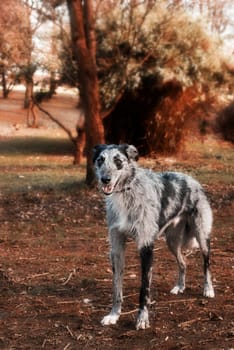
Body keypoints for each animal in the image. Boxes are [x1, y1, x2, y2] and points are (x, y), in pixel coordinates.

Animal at [93, 144, 214, 330]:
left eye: (118, 161)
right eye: (100, 160)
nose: (105, 179)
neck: (127, 193)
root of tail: (191, 179)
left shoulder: (146, 247)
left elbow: (144, 290)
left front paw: (142, 318)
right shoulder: (116, 249)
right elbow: (116, 287)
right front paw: (114, 315)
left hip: (202, 236)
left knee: (206, 263)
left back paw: (208, 289)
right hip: (172, 242)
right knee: (183, 262)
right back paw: (179, 286)